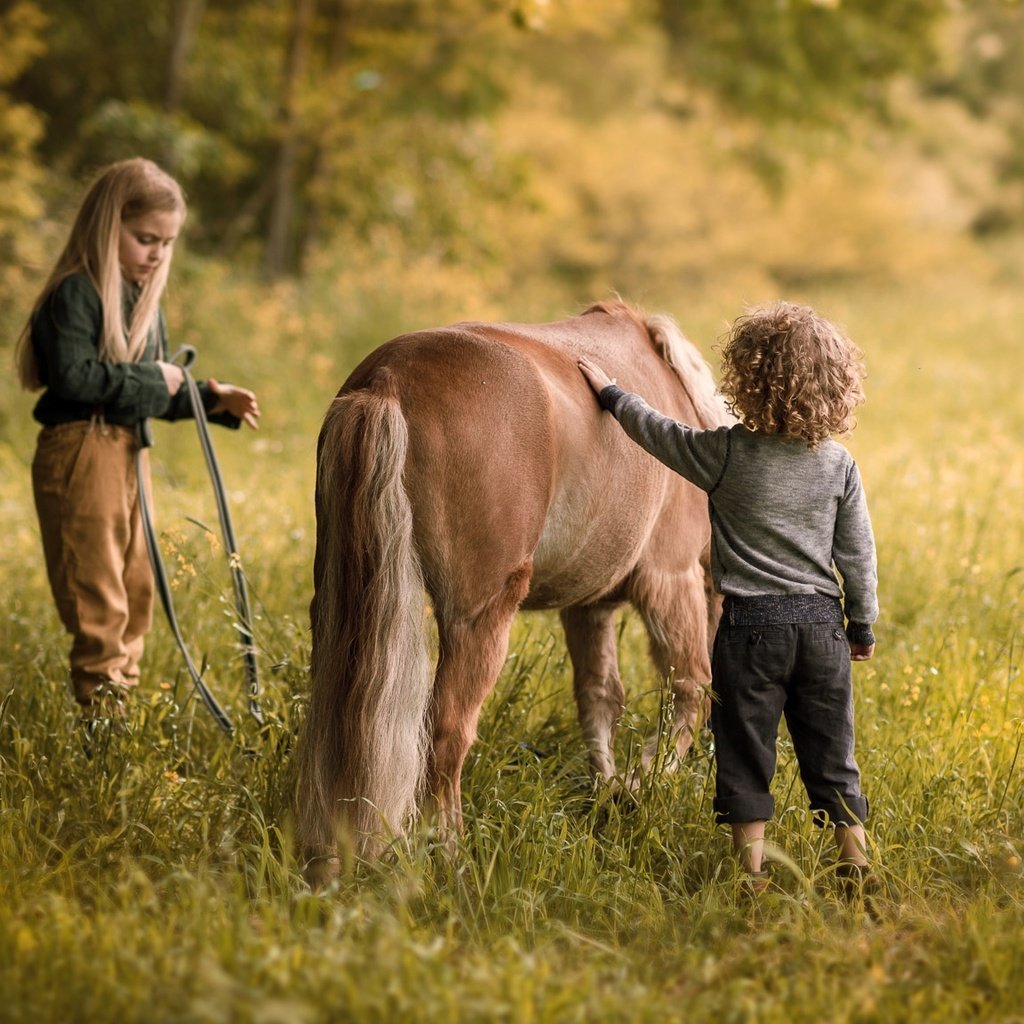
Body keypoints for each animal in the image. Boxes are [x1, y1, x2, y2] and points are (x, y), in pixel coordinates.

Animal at [296, 299, 737, 876]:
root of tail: (388, 380)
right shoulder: (671, 579)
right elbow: (689, 689)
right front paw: (636, 787)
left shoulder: (588, 607)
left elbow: (600, 698)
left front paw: (608, 788)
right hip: (479, 618)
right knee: (447, 734)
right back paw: (450, 854)